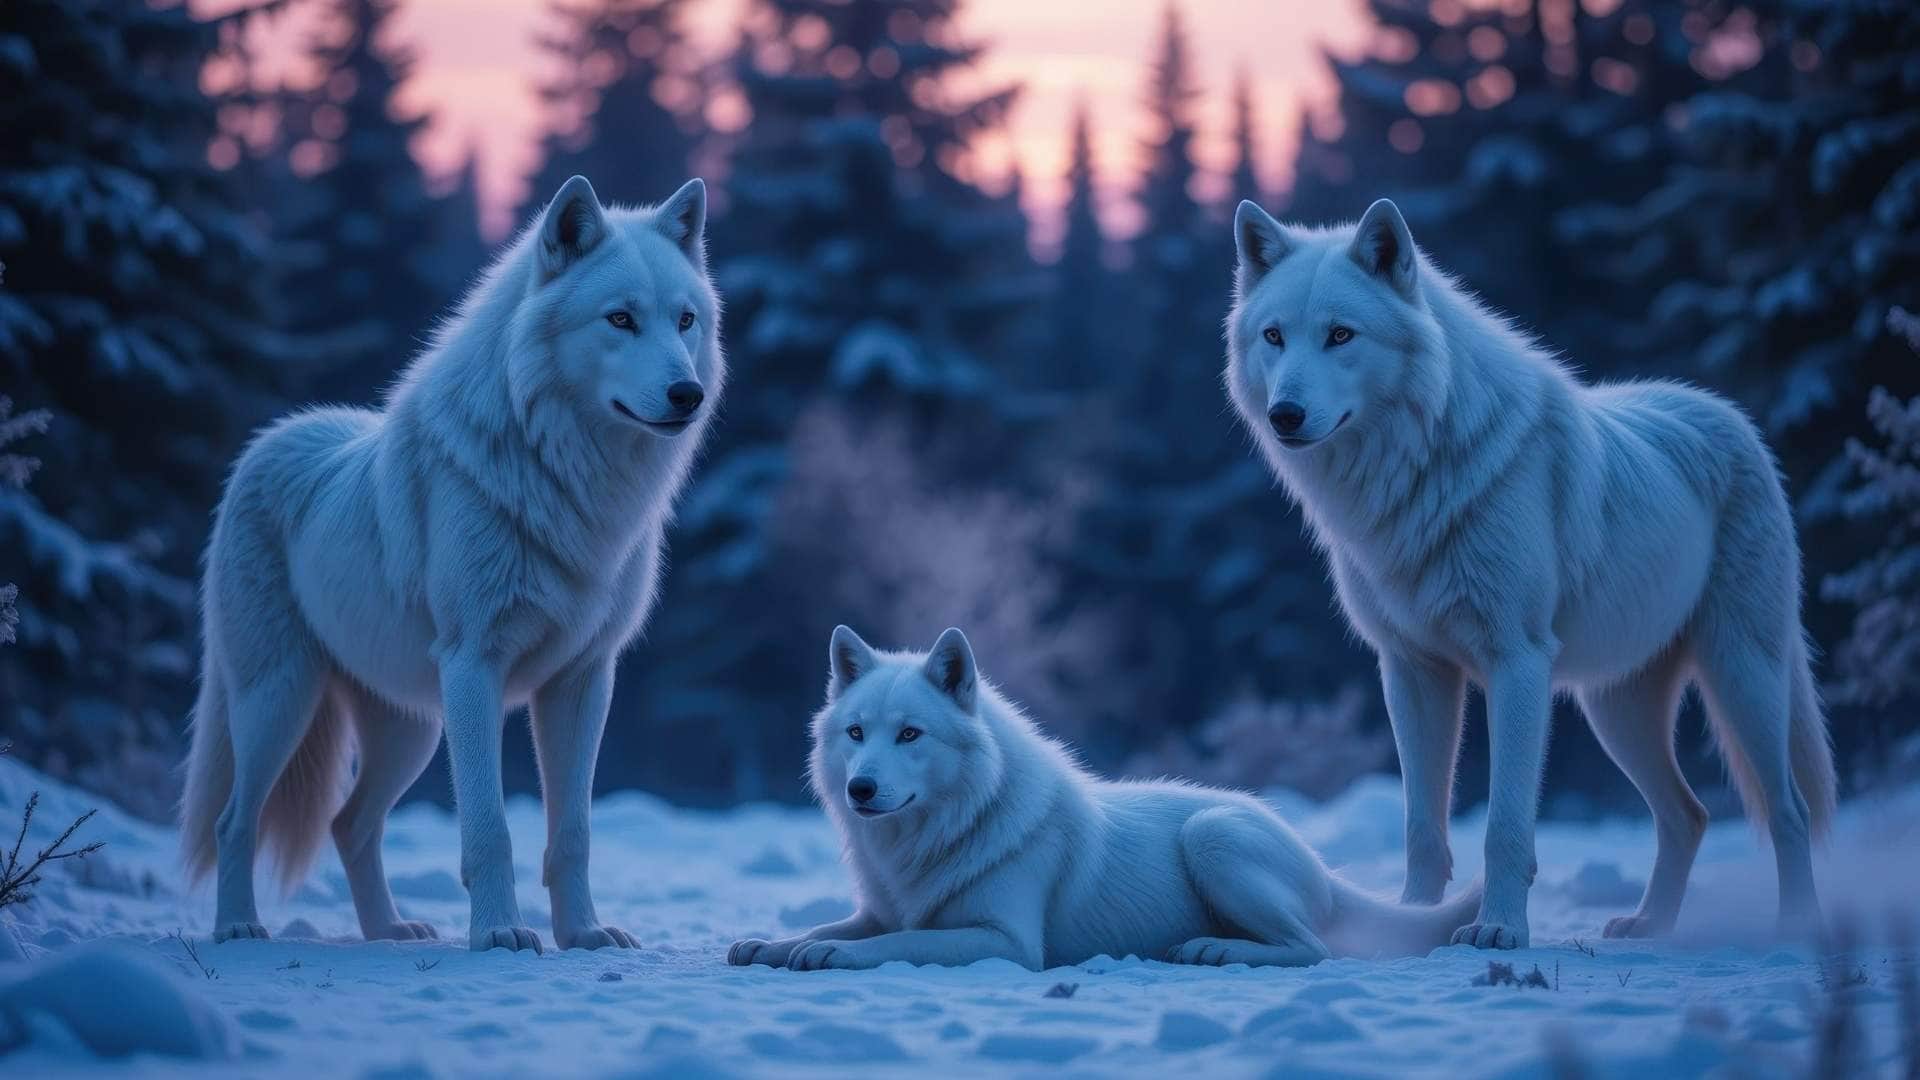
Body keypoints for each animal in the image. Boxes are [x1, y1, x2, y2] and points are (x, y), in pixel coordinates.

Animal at [178, 175, 723, 953]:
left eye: (685, 321)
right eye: (620, 319)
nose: (688, 395)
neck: (564, 477)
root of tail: (272, 438)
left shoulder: (584, 681)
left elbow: (574, 834)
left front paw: (583, 934)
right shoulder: (473, 667)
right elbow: (490, 829)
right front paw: (499, 933)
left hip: (411, 730)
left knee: (350, 823)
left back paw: (388, 931)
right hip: (279, 700)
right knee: (234, 819)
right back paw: (239, 927)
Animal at [727, 626, 1480, 971]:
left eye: (910, 734)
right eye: (856, 733)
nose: (860, 788)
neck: (943, 830)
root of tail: (1323, 867)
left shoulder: (1006, 942)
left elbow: (900, 942)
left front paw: (830, 955)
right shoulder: (877, 910)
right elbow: (831, 928)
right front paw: (770, 944)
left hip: (1213, 836)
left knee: (1313, 949)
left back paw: (1211, 950)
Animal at [1223, 197, 1835, 949]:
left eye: (1341, 335)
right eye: (1274, 337)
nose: (1284, 414)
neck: (1415, 470)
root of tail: (1725, 413)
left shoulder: (1517, 662)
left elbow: (1505, 827)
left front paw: (1498, 930)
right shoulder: (1411, 671)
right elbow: (1423, 827)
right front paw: (1413, 920)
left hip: (1742, 675)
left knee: (1789, 808)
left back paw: (1796, 926)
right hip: (1616, 711)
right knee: (1687, 815)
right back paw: (1650, 925)